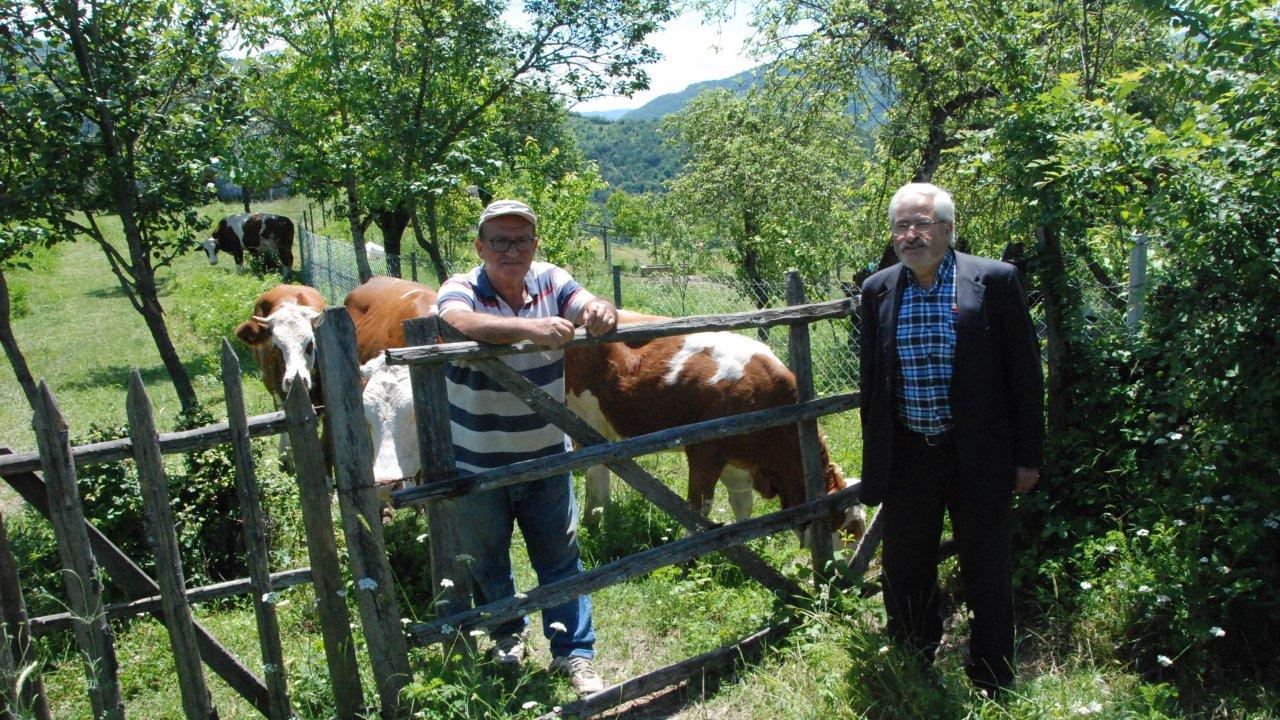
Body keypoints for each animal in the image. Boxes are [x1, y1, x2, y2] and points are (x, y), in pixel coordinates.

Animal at [570, 327, 870, 545]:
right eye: (849, 530)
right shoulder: (705, 454)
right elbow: (698, 510)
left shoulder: (739, 464)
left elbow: (743, 506)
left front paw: (744, 547)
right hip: (588, 421)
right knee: (595, 473)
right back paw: (595, 523)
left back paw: (606, 518)